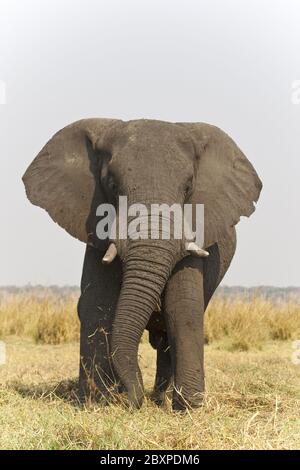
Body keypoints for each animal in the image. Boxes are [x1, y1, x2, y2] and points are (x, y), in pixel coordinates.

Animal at [22, 118, 262, 412]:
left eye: (188, 187)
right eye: (112, 185)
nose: (133, 399)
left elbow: (182, 307)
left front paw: (188, 407)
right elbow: (97, 304)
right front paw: (98, 402)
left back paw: (162, 398)